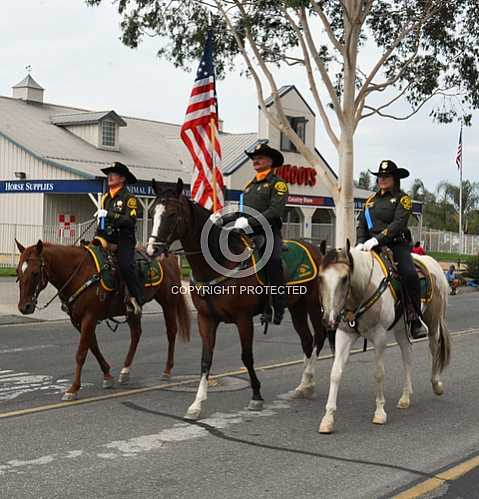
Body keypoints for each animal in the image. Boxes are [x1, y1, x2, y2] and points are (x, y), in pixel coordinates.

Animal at [13, 240, 189, 400]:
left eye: (35, 272)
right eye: (18, 272)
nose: (24, 307)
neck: (78, 273)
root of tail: (171, 256)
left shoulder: (89, 317)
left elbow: (81, 353)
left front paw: (73, 388)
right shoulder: (78, 321)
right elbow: (93, 346)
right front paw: (107, 375)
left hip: (168, 303)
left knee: (171, 332)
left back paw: (167, 370)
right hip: (133, 310)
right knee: (136, 334)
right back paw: (125, 371)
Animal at [146, 178, 326, 420]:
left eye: (173, 214)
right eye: (152, 211)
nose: (152, 250)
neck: (219, 263)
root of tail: (317, 249)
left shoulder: (243, 319)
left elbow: (246, 356)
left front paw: (256, 396)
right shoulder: (206, 319)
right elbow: (206, 359)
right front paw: (196, 404)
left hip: (313, 305)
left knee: (319, 337)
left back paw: (309, 382)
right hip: (297, 308)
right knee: (307, 340)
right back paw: (303, 385)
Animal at [318, 241, 450, 434]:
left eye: (344, 278)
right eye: (320, 278)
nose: (329, 319)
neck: (362, 291)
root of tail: (433, 264)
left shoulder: (380, 337)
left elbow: (379, 374)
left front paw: (380, 412)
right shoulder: (344, 335)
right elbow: (335, 373)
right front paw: (328, 418)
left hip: (433, 324)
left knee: (434, 348)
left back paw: (437, 384)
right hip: (401, 328)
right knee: (407, 354)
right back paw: (405, 397)